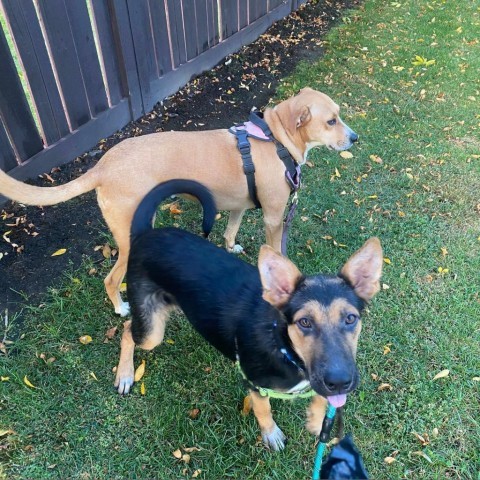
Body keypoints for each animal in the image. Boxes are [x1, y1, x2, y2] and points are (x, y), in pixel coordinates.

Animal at [0, 88, 356, 316]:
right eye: (331, 121)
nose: (355, 138)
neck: (275, 138)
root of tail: (102, 166)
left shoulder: (238, 206)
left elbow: (231, 230)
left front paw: (231, 247)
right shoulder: (273, 217)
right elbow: (277, 250)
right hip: (129, 237)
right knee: (111, 278)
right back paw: (120, 307)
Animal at [116, 178, 382, 448]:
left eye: (350, 318)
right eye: (305, 322)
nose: (340, 382)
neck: (281, 343)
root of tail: (144, 234)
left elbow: (321, 398)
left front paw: (318, 423)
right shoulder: (255, 383)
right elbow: (263, 409)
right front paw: (271, 434)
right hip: (151, 331)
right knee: (127, 331)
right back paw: (125, 375)